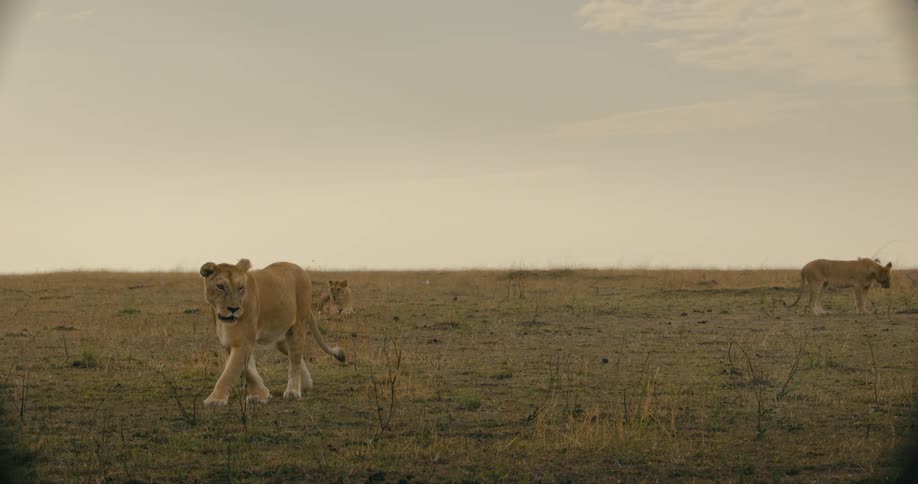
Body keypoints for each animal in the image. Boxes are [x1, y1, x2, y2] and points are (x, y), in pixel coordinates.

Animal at [199, 259, 346, 406]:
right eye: (220, 286)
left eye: (241, 288)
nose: (233, 309)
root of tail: (300, 268)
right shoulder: (229, 343)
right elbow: (248, 371)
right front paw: (261, 395)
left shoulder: (243, 342)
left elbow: (230, 372)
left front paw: (215, 400)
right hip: (281, 340)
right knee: (295, 356)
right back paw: (306, 384)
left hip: (296, 326)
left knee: (295, 359)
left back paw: (293, 391)